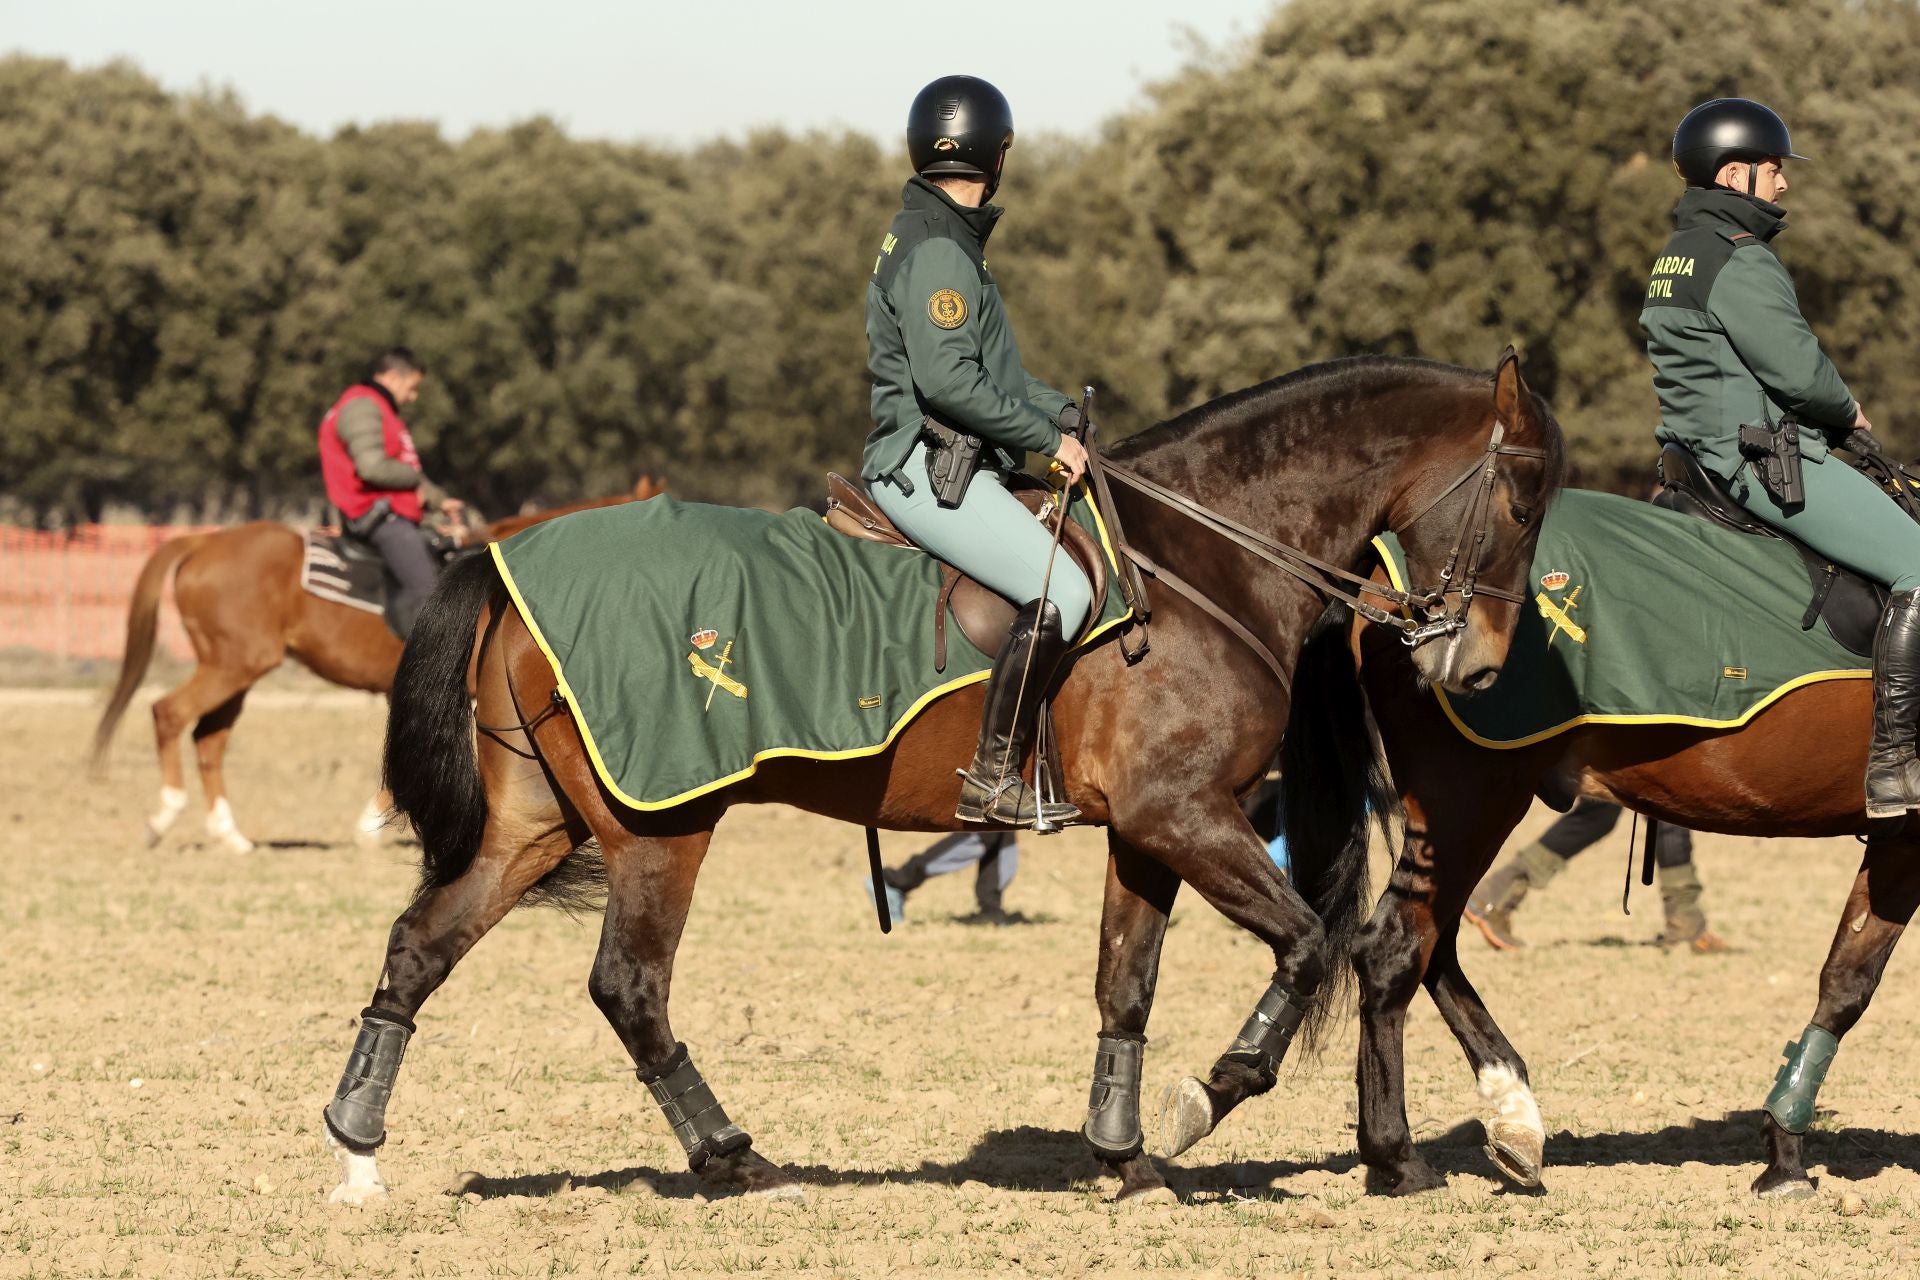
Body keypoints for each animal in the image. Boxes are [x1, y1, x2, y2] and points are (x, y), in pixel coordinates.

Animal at [90, 475, 668, 855]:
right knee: (170, 714)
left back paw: (230, 835)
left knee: (209, 739)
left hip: (237, 671)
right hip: (234, 665)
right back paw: (163, 816)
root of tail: (203, 540)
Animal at [322, 355, 1566, 1205]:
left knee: (420, 945)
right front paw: (1203, 1098)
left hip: (533, 825)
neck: (1205, 562)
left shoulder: (1147, 832)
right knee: (629, 985)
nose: (1479, 665)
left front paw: (1120, 1154)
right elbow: (1308, 945)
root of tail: (504, 554)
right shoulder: (1185, 815)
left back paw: (357, 1141)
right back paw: (732, 1155)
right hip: (659, 827)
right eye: (1521, 502)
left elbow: (1126, 988)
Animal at [1251, 556, 1896, 1205]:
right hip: (1471, 801)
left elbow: (1847, 978)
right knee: (1394, 948)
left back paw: (1513, 1113)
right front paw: (1786, 1156)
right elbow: (1851, 985)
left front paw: (1784, 1149)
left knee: (1435, 947)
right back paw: (1398, 1156)